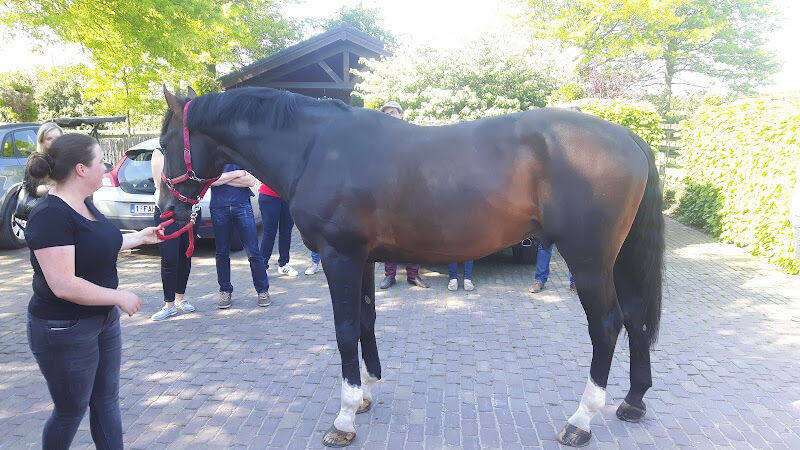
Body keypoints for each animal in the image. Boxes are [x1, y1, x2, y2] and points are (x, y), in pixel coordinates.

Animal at [157, 86, 664, 447]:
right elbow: (365, 321)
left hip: (590, 260)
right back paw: (633, 402)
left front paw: (343, 418)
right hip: (617, 259)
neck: (315, 147)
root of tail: (628, 136)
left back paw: (581, 420)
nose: (167, 213)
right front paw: (364, 397)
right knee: (635, 317)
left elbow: (345, 331)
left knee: (607, 324)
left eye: (165, 141)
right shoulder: (361, 260)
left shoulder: (340, 258)